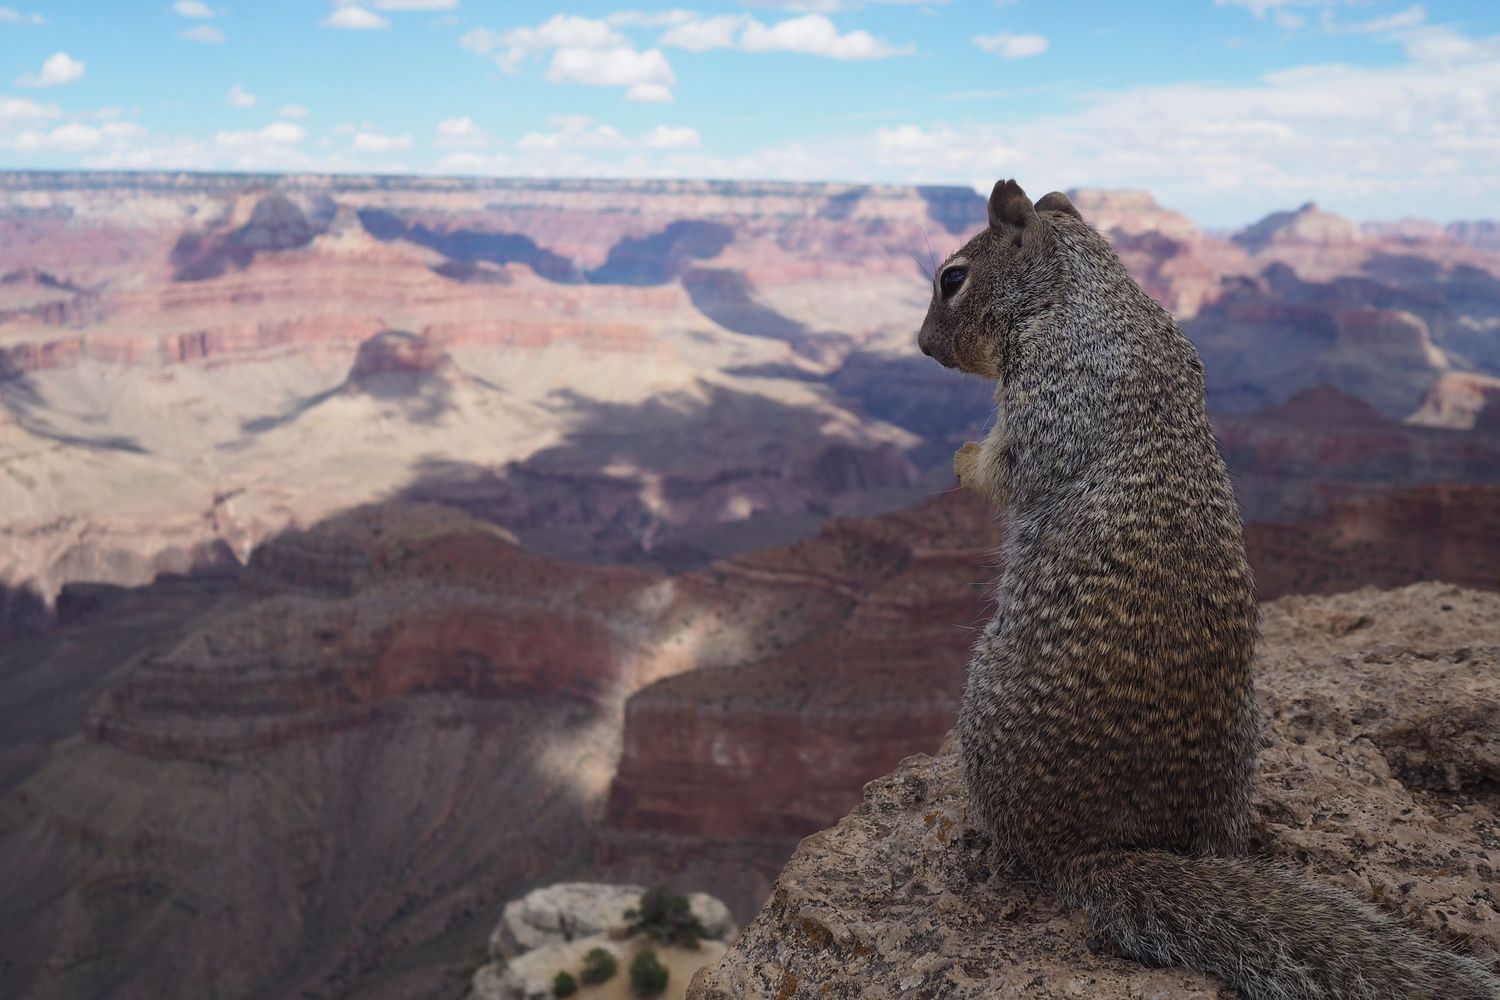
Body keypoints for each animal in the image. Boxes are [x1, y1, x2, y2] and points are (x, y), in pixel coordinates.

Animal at [918, 179, 1500, 999]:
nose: (919, 346)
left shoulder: (1050, 392)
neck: (1087, 290)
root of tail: (1103, 847)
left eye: (953, 278)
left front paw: (965, 458)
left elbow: (1009, 465)